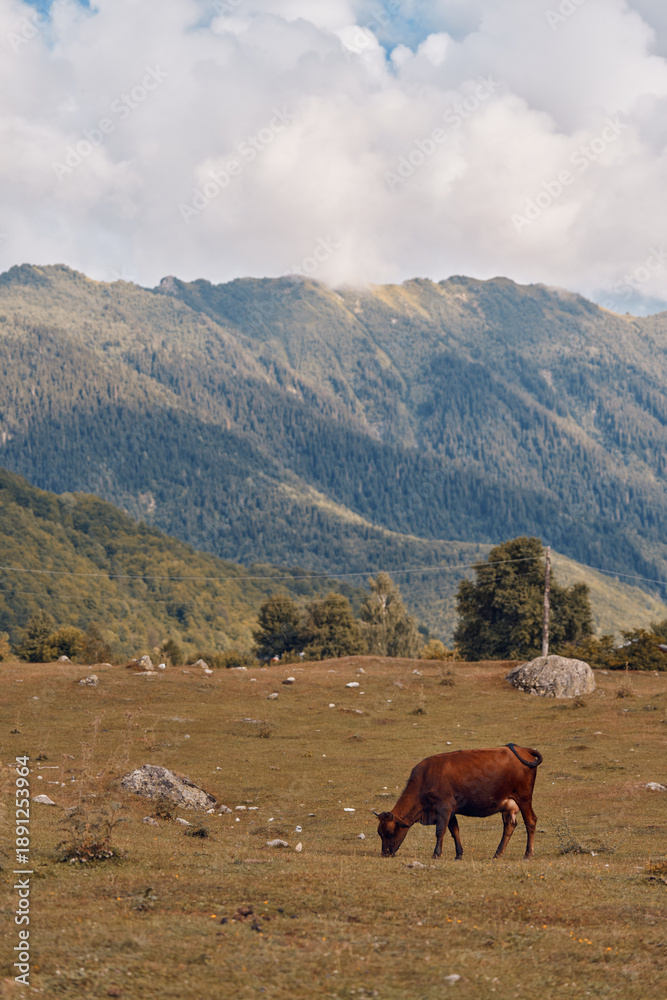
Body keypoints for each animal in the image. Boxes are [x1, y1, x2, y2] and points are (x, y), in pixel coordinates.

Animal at [374, 743, 543, 860]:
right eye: (379, 833)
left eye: (390, 833)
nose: (385, 854)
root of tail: (523, 749)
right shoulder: (451, 811)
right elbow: (454, 831)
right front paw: (459, 854)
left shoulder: (444, 807)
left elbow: (440, 831)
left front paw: (436, 854)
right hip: (508, 804)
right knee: (509, 826)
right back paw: (497, 854)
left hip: (524, 798)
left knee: (530, 822)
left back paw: (527, 854)